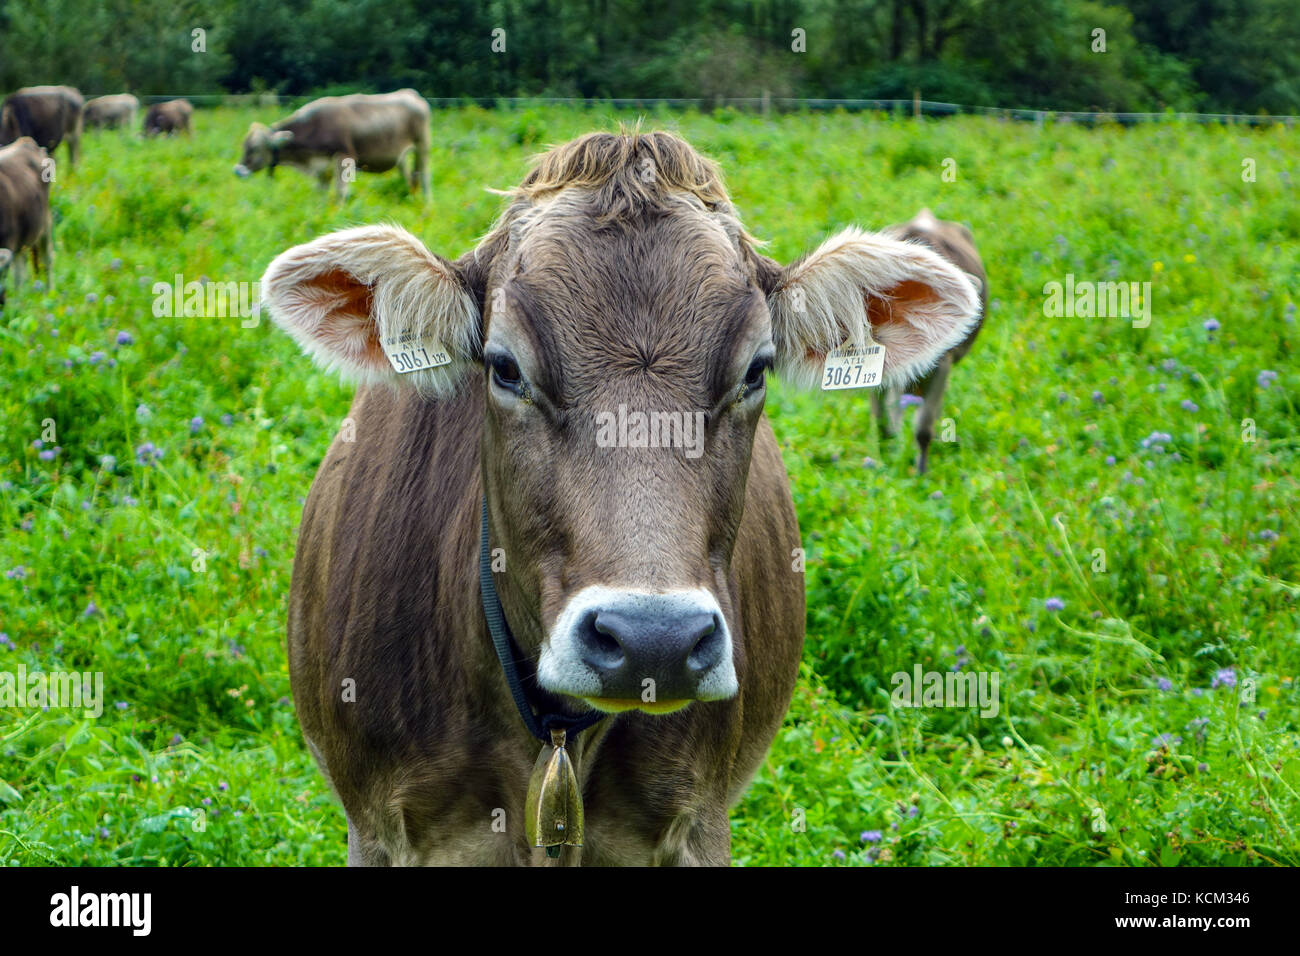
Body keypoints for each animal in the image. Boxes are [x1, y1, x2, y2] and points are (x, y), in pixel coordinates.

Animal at [234, 89, 431, 201]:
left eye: (254, 148)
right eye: (244, 146)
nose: (237, 170)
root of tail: (411, 93)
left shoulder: (344, 158)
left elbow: (339, 194)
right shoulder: (322, 169)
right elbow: (319, 196)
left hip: (422, 146)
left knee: (424, 179)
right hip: (401, 157)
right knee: (412, 178)